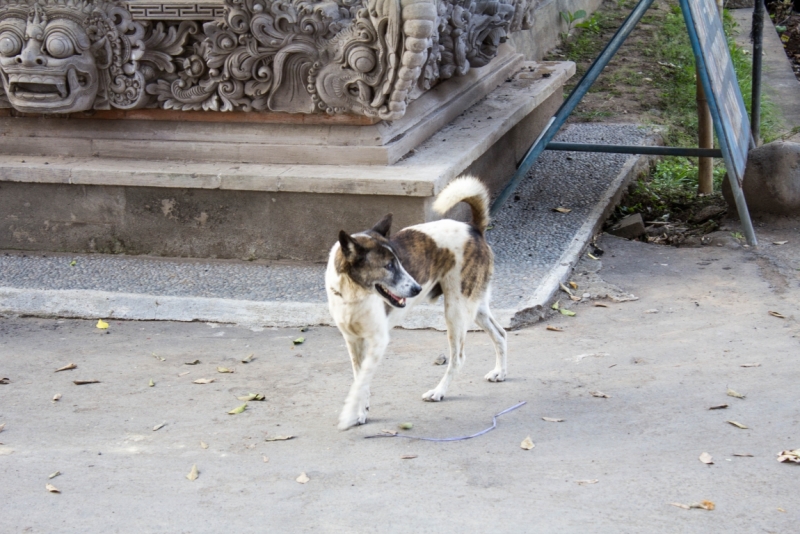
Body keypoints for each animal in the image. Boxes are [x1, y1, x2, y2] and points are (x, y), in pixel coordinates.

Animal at [324, 178, 506, 434]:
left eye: (399, 262)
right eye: (389, 266)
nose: (417, 289)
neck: (354, 294)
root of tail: (474, 229)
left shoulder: (378, 341)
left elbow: (360, 382)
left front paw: (351, 413)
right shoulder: (352, 341)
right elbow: (360, 379)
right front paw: (361, 410)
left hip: (456, 311)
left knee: (458, 357)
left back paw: (438, 392)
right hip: (474, 306)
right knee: (500, 334)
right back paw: (500, 372)